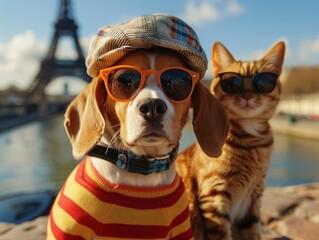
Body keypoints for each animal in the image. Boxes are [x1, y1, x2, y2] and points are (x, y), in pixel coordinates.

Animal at [176, 41, 286, 240]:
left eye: (263, 83)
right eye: (232, 83)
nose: (248, 95)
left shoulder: (253, 197)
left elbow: (253, 232)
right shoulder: (213, 195)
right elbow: (221, 233)